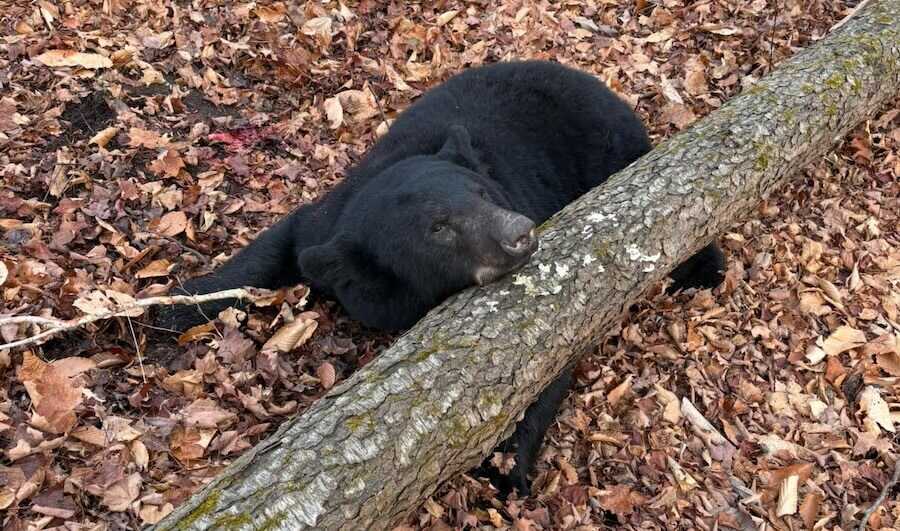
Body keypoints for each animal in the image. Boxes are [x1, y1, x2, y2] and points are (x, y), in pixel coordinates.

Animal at [158, 60, 725, 497]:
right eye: (438, 229)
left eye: (482, 192)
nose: (519, 233)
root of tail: (603, 87)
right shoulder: (325, 224)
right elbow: (275, 247)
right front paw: (172, 306)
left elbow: (551, 359)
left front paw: (509, 467)